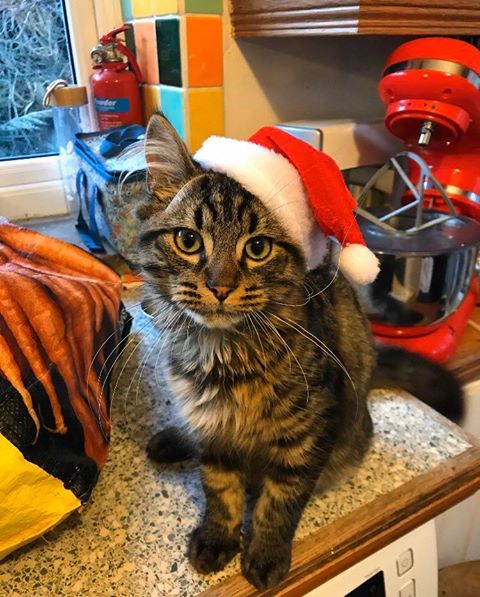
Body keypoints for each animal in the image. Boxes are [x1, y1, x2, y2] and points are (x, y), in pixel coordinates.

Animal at [134, 114, 462, 588]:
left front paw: (266, 554)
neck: (224, 355)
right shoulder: (215, 434)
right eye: (188, 240)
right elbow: (220, 490)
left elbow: (280, 501)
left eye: (257, 248)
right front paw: (217, 538)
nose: (219, 287)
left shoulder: (308, 434)